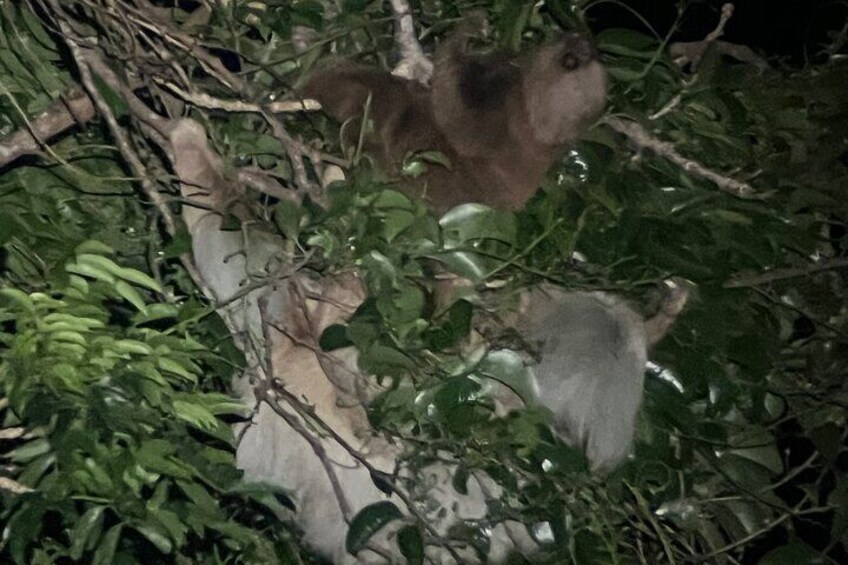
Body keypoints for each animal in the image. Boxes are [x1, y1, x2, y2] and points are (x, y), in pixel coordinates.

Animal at [302, 26, 607, 212]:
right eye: (585, 53)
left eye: (572, 59)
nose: (581, 38)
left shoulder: (507, 111)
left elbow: (458, 120)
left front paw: (463, 37)